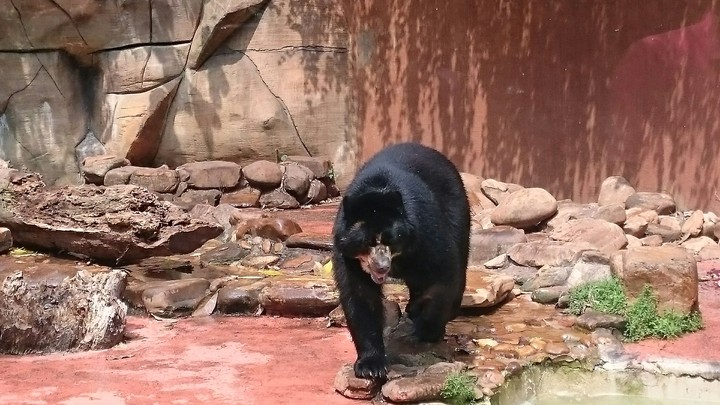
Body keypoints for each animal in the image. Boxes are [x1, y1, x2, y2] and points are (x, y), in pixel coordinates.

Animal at [332, 142, 471, 381]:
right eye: (366, 242)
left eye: (391, 238)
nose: (382, 267)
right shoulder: (347, 256)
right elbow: (359, 295)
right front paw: (371, 366)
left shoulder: (425, 231)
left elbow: (443, 273)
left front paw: (426, 331)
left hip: (458, 211)